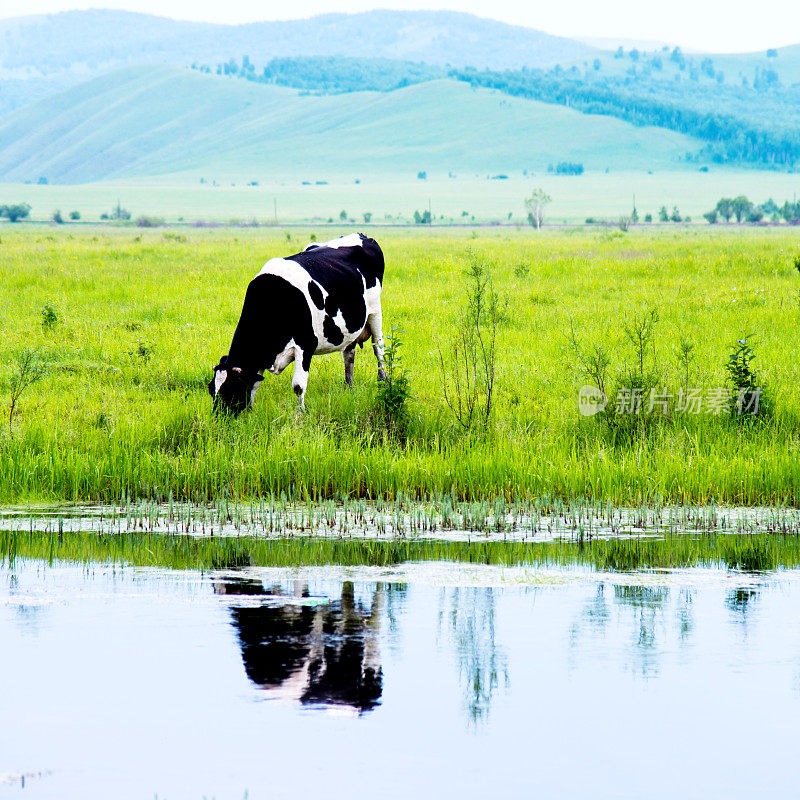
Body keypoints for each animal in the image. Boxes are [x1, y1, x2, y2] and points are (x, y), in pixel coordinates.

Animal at [209, 231, 388, 416]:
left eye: (231, 389)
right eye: (211, 390)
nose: (218, 419)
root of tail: (361, 235)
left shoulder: (305, 345)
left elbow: (298, 386)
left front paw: (300, 415)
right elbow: (255, 383)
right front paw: (250, 410)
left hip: (375, 312)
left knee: (379, 347)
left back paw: (382, 381)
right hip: (350, 326)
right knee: (349, 354)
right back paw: (348, 388)